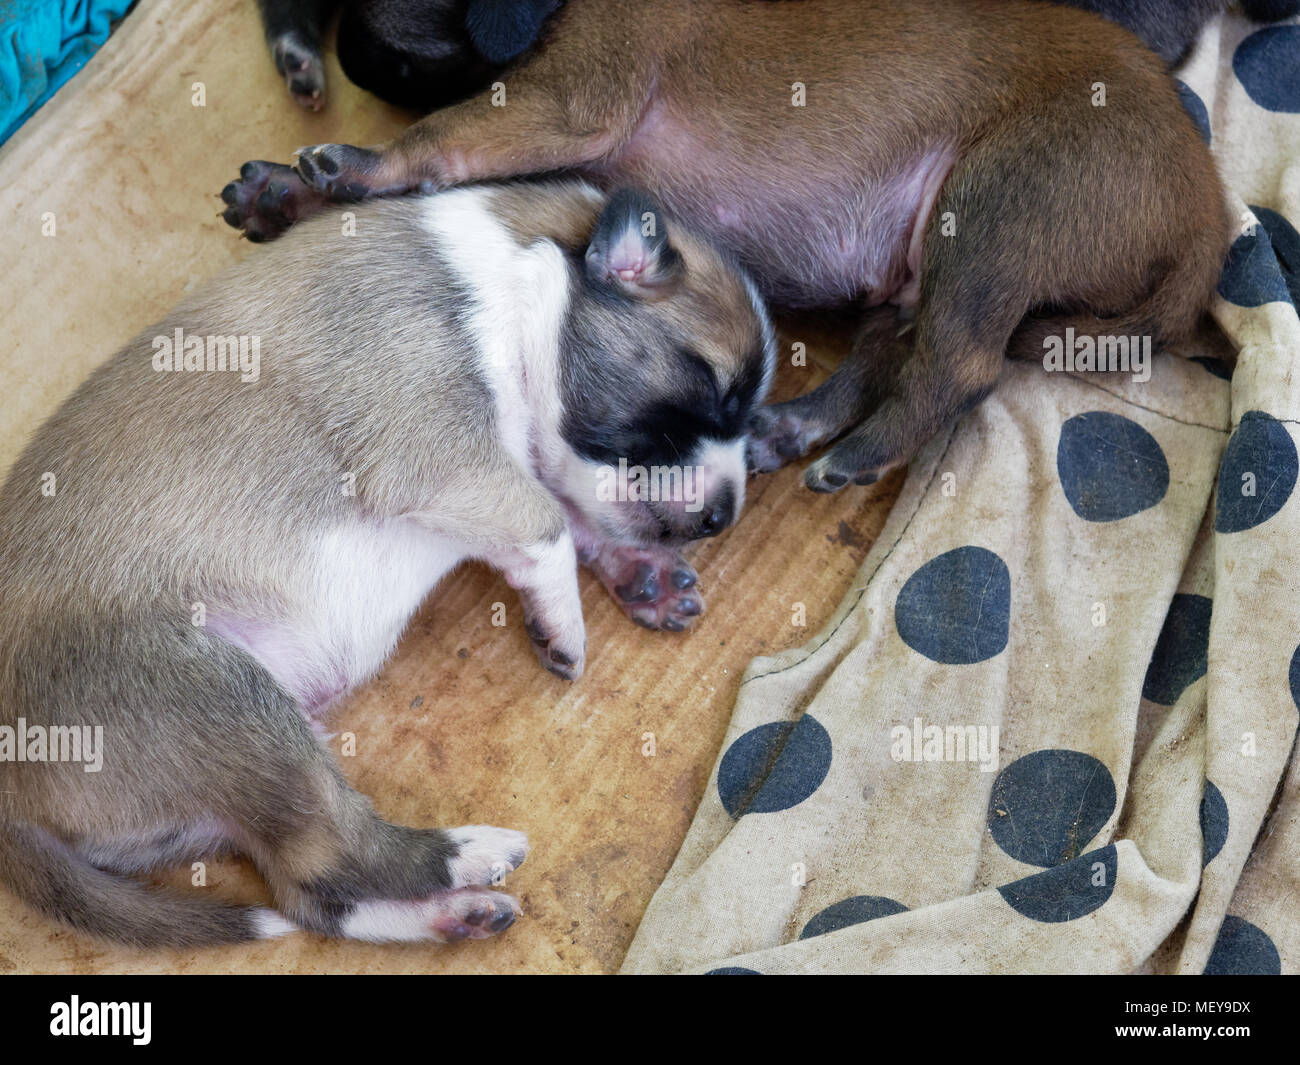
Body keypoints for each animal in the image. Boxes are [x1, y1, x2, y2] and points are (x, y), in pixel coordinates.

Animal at [0, 176, 769, 951]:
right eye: (718, 393)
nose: (726, 516)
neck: (513, 279)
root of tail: (12, 808)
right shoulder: (440, 459)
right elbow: (549, 526)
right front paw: (566, 624)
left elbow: (572, 510)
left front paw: (640, 574)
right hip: (225, 696)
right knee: (341, 854)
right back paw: (467, 853)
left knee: (315, 891)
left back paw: (451, 910)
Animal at [223, 0, 1227, 491]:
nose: (341, 65)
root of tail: (1209, 218)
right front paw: (286, 193)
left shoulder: (564, 101)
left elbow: (434, 139)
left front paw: (348, 165)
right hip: (922, 265)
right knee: (897, 350)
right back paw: (796, 425)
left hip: (992, 209)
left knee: (960, 366)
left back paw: (856, 455)